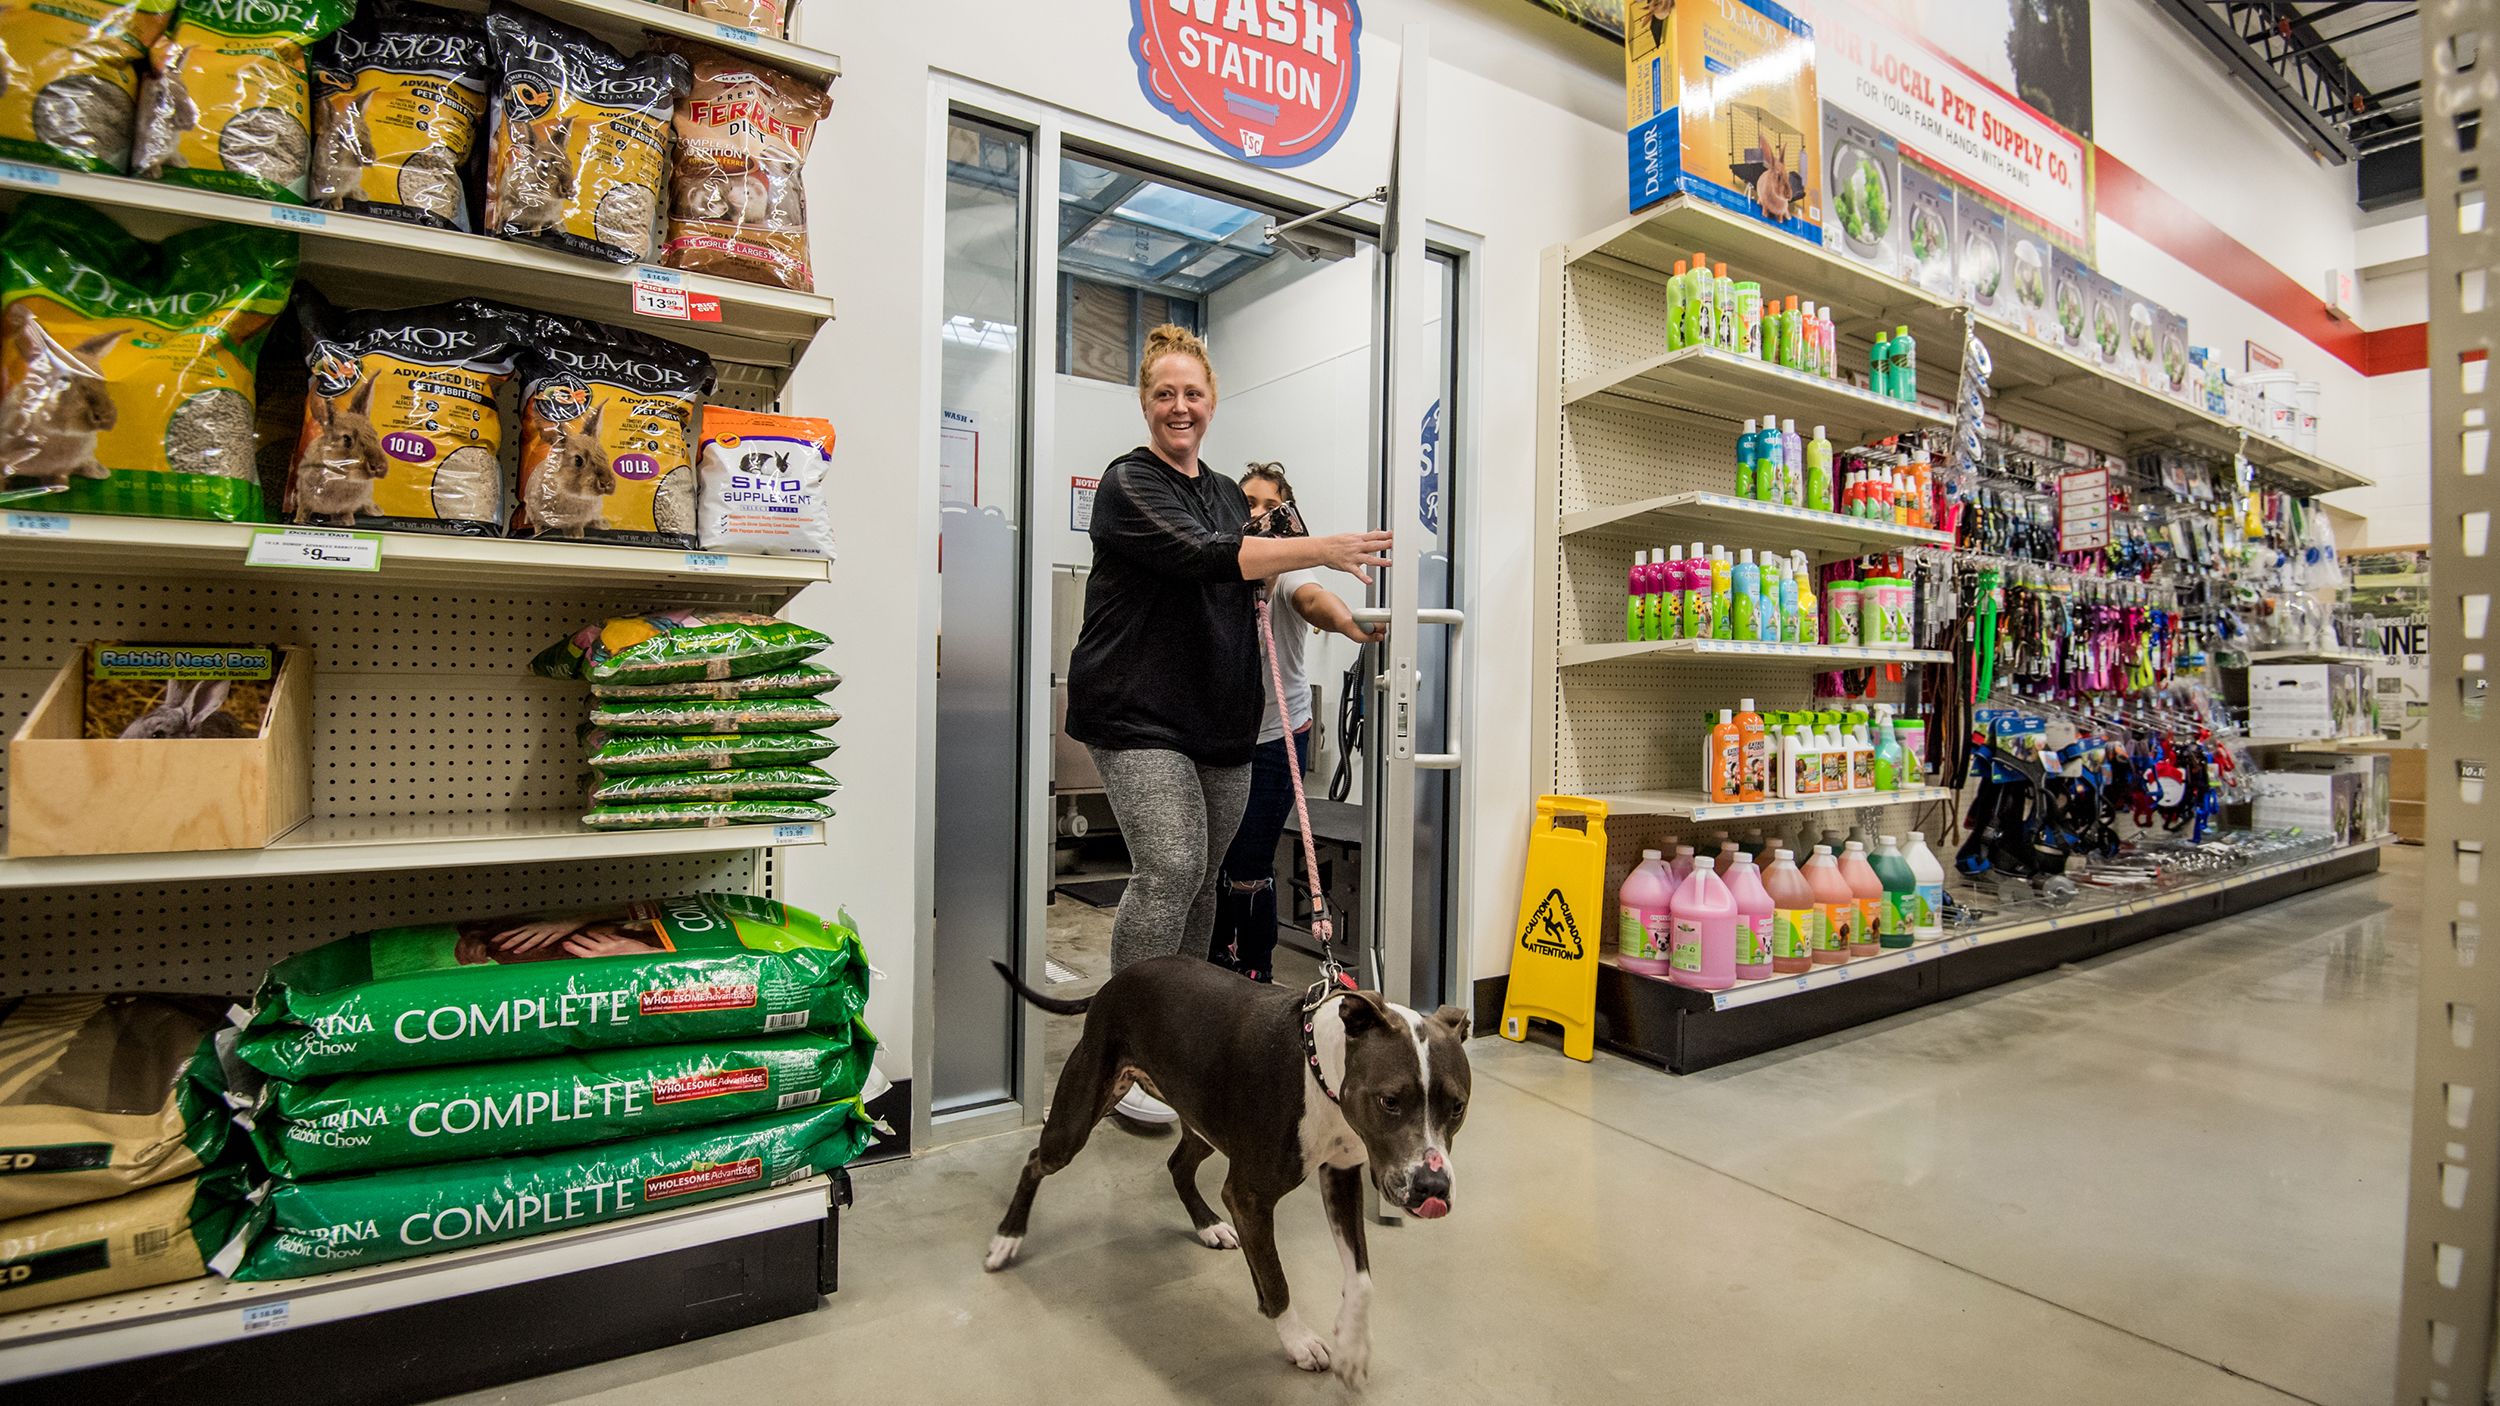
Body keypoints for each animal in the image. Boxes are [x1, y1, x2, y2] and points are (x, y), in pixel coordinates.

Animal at [985, 950, 1470, 1380]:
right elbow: (1275, 1280)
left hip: (1204, 1124)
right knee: (1035, 1161)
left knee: (1178, 1165)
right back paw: (1007, 1238)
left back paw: (1208, 1225)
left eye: (1458, 1107)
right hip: (1075, 1124)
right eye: (1389, 1101)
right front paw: (1298, 1342)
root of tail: (1116, 980)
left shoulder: (1341, 1176)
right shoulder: (1249, 1196)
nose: (1432, 1186)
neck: (1320, 1070)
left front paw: (1352, 1347)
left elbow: (1362, 1278)